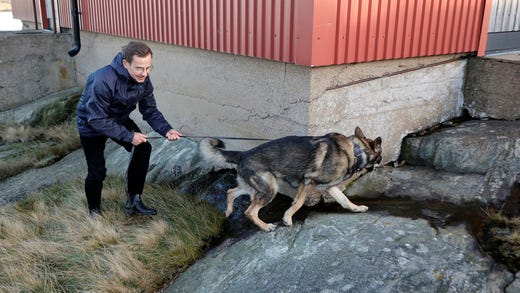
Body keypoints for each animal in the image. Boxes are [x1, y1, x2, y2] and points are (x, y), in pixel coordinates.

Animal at [199, 126, 382, 232]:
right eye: (379, 156)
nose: (381, 162)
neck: (355, 151)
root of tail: (243, 154)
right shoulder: (308, 181)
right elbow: (298, 203)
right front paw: (287, 218)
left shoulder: (330, 187)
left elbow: (345, 200)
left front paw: (356, 208)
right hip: (270, 189)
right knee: (249, 211)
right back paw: (266, 227)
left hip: (254, 187)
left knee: (230, 192)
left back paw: (228, 211)